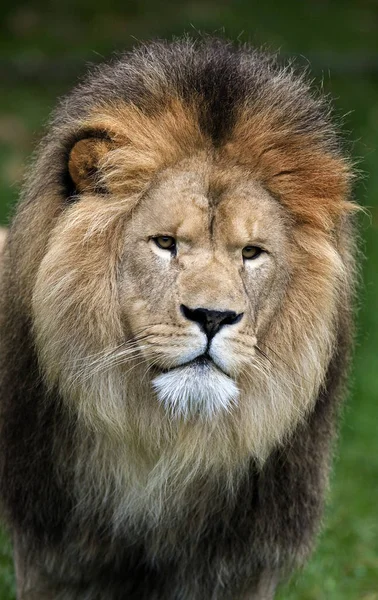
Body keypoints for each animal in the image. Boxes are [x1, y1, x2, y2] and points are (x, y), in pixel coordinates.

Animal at [0, 38, 358, 600]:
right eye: (165, 243)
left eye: (251, 253)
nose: (212, 316)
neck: (168, 448)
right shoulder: (52, 557)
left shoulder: (244, 568)